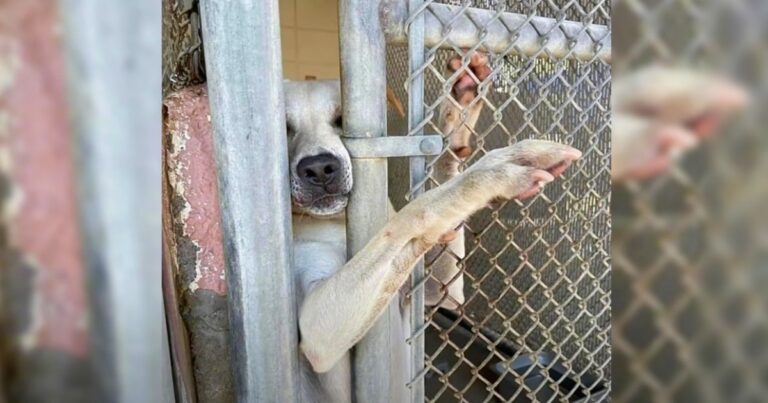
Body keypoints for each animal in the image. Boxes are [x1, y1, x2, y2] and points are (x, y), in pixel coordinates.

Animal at [284, 52, 580, 400]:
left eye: (342, 119)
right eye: (283, 128)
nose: (318, 169)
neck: (336, 220)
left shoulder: (436, 293)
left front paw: (458, 109)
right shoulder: (317, 325)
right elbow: (415, 210)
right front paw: (495, 172)